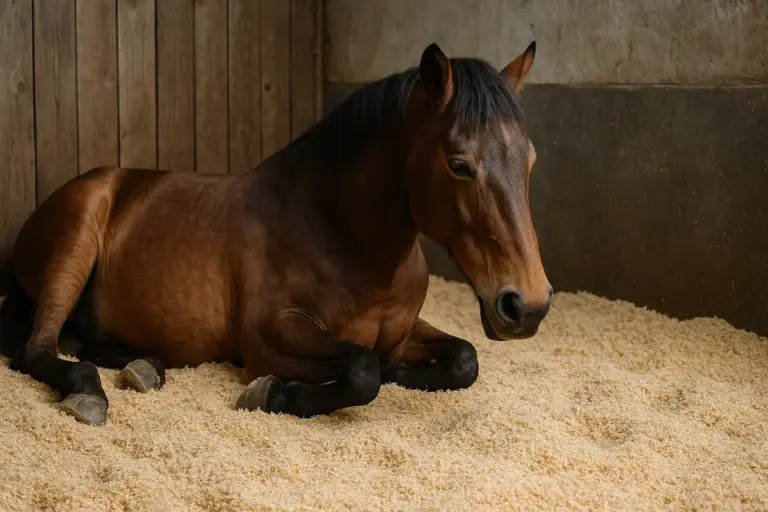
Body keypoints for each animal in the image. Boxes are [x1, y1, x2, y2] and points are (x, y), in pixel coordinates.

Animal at [0, 42, 551, 426]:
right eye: (459, 164)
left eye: (530, 160)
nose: (526, 305)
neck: (343, 235)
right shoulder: (273, 335)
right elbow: (362, 369)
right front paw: (273, 393)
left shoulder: (401, 331)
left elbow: (463, 360)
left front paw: (403, 374)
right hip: (73, 248)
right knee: (40, 349)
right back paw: (89, 392)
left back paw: (145, 366)